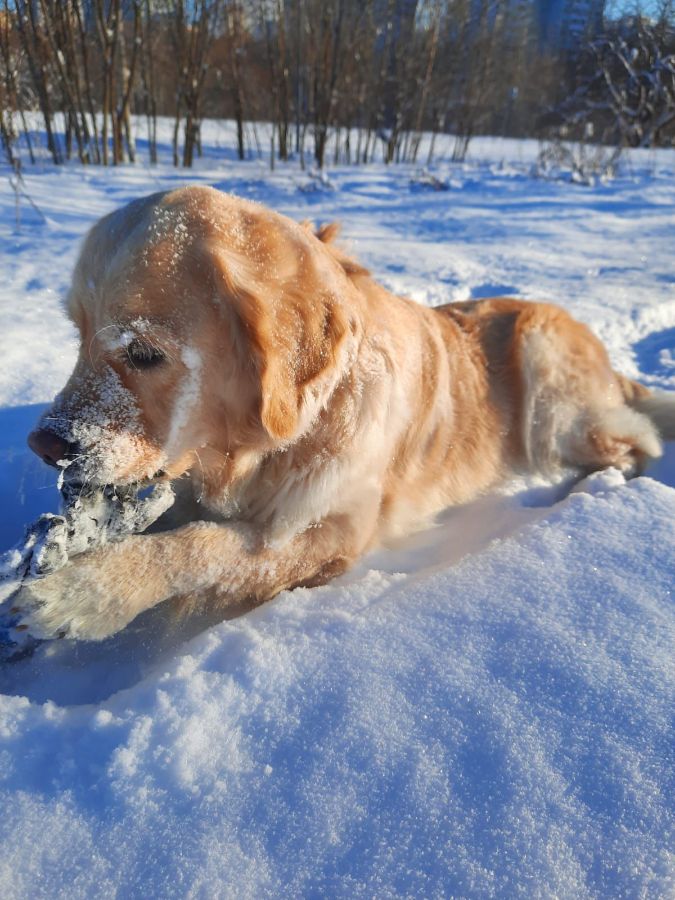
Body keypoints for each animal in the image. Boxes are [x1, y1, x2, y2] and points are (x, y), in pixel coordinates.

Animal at [14, 186, 675, 640]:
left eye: (144, 353)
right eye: (77, 334)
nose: (44, 445)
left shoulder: (336, 528)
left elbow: (201, 545)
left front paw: (83, 593)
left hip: (549, 387)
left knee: (634, 443)